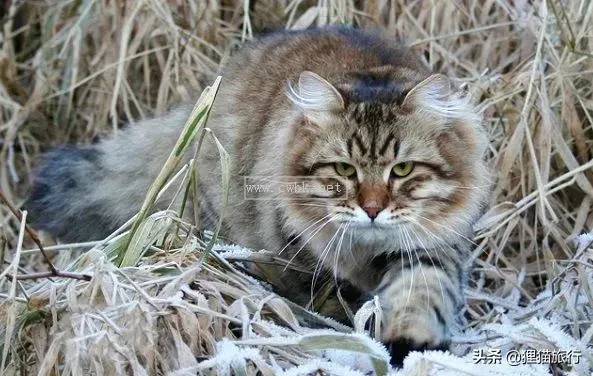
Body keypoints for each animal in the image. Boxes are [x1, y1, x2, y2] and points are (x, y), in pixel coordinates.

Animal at [26, 26, 490, 368]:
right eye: (344, 170)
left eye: (403, 170)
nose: (372, 209)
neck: (365, 252)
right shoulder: (301, 254)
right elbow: (324, 298)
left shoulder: (430, 249)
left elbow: (420, 295)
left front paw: (409, 345)